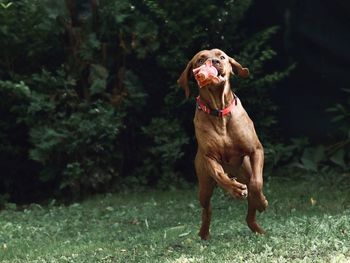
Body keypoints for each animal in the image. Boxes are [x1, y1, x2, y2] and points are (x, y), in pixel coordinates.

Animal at [178, 48, 268, 240]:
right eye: (200, 59)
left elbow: (257, 183)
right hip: (204, 186)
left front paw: (262, 202)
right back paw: (203, 233)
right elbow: (220, 175)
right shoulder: (209, 157)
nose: (214, 62)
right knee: (207, 209)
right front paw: (235, 190)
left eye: (222, 56)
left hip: (246, 170)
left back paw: (259, 224)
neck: (219, 111)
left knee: (250, 209)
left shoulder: (256, 150)